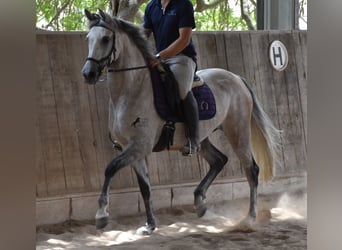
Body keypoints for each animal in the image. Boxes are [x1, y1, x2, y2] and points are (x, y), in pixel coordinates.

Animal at [81, 9, 280, 235]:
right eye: (88, 39)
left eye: (106, 39)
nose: (88, 74)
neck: (131, 91)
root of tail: (237, 78)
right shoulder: (132, 148)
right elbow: (145, 188)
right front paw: (150, 225)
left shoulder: (140, 145)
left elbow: (110, 168)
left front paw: (101, 215)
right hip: (201, 138)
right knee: (219, 160)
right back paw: (200, 203)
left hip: (237, 132)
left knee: (251, 169)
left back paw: (249, 218)